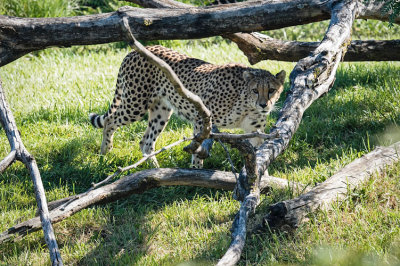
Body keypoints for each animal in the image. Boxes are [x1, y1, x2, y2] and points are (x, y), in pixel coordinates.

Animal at [90, 45, 284, 167]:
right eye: (255, 90)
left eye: (271, 90)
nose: (264, 105)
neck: (246, 103)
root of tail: (134, 51)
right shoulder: (202, 118)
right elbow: (198, 149)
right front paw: (196, 171)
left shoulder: (255, 130)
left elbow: (258, 154)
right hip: (135, 104)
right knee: (110, 121)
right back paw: (105, 152)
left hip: (161, 110)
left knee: (145, 141)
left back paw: (155, 170)